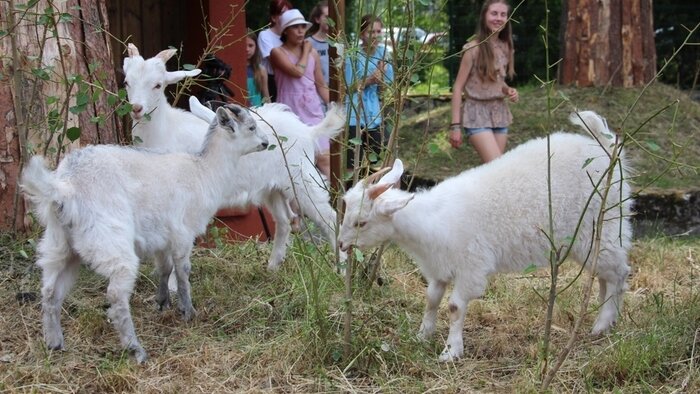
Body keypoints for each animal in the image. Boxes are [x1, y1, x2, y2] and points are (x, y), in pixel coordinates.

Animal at [19, 104, 270, 364]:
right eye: (251, 127)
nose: (266, 143)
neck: (203, 171)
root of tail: (65, 187)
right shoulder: (182, 234)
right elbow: (182, 272)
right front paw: (188, 311)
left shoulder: (162, 238)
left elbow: (164, 269)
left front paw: (163, 303)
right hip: (110, 241)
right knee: (116, 295)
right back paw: (136, 350)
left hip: (59, 245)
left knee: (50, 291)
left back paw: (54, 342)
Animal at [189, 96, 348, 270]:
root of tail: (307, 131)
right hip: (273, 189)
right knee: (284, 221)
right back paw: (273, 266)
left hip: (301, 181)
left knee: (329, 218)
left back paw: (341, 268)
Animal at [340, 111, 636, 364]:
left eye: (361, 222)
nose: (342, 245)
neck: (433, 219)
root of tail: (606, 149)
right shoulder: (439, 266)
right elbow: (432, 299)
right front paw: (422, 335)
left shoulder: (471, 266)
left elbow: (455, 306)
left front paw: (451, 352)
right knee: (605, 276)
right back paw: (605, 319)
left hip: (604, 226)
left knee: (619, 273)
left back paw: (602, 325)